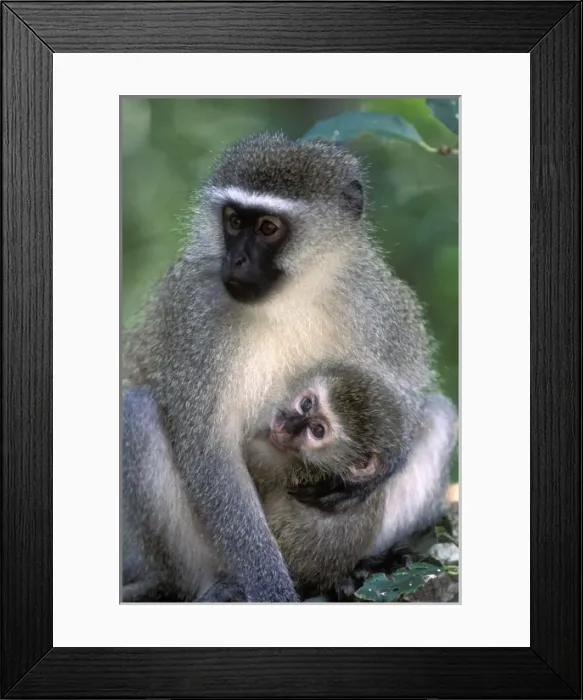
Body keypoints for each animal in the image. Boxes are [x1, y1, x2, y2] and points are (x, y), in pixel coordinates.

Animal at [122, 132, 458, 603]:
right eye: (233, 221)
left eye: (267, 228)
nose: (236, 261)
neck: (289, 298)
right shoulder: (196, 314)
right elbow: (209, 453)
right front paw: (271, 590)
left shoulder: (375, 297)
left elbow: (409, 391)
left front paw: (377, 473)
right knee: (138, 412)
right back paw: (212, 585)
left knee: (440, 414)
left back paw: (361, 567)